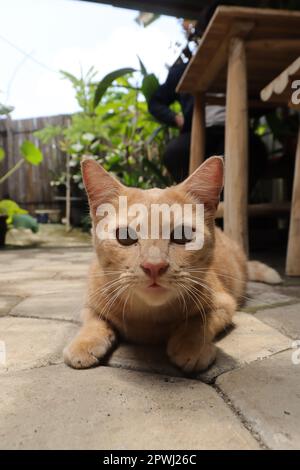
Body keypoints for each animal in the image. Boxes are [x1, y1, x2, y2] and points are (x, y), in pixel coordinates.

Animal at [63, 156, 282, 372]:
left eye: (183, 235)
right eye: (124, 236)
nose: (154, 266)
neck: (148, 318)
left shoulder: (224, 303)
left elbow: (199, 321)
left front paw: (191, 345)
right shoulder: (91, 301)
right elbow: (94, 320)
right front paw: (84, 342)